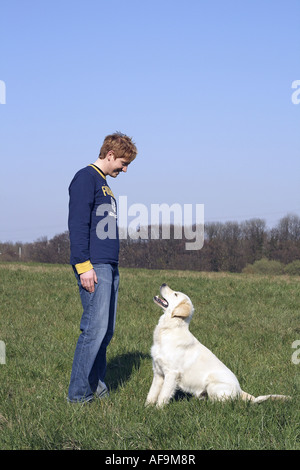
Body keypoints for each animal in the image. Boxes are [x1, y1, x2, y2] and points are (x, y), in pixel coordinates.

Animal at [145, 282, 290, 408]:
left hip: (212, 384)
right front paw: (147, 408)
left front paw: (158, 410)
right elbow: (152, 393)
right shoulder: (158, 372)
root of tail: (240, 390)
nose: (163, 283)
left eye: (175, 294)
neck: (169, 329)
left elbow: (163, 395)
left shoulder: (172, 374)